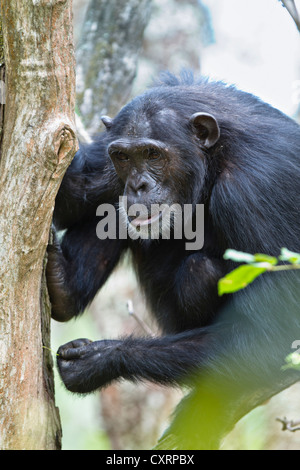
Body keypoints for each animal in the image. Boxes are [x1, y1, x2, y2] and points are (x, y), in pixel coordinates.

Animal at [47, 72, 300, 448]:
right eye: (121, 156)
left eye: (152, 153)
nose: (137, 185)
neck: (215, 157)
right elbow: (69, 191)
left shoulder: (255, 192)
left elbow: (271, 334)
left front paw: (99, 360)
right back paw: (64, 286)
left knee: (200, 271)